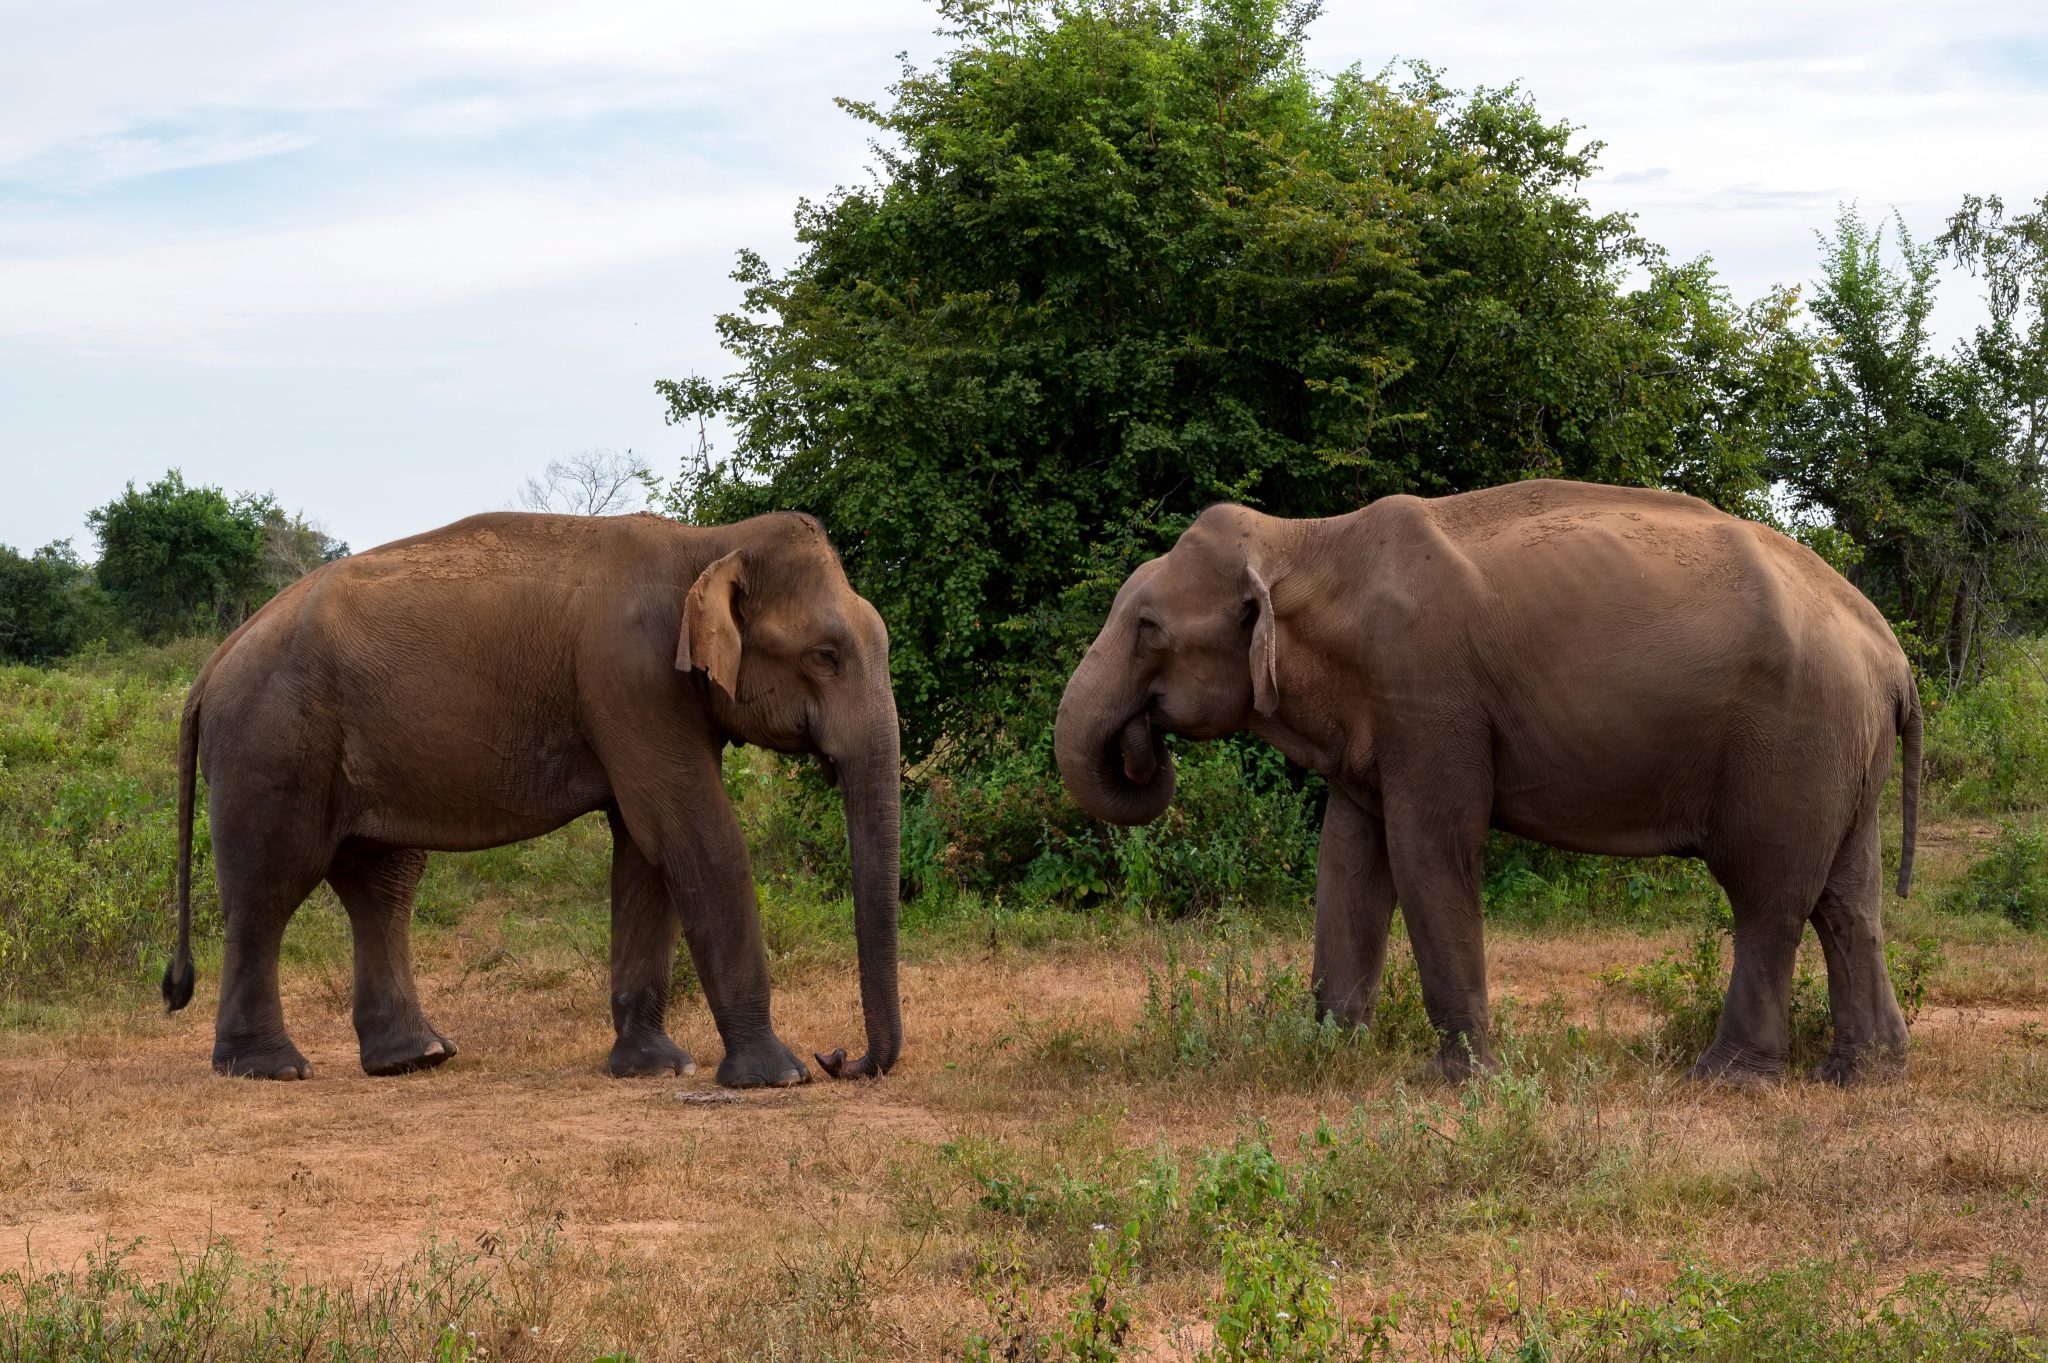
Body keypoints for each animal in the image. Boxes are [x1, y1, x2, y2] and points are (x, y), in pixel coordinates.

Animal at [159, 503, 897, 1088]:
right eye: (826, 655)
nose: (839, 1057)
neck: (708, 543)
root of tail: (211, 666)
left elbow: (645, 850)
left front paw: (656, 1067)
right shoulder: (631, 680)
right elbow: (693, 835)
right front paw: (777, 1076)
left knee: (381, 882)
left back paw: (416, 1057)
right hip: (271, 744)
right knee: (271, 887)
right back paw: (273, 1068)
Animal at [1056, 476, 1916, 1080]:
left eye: (1148, 629)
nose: (1144, 744)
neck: (1307, 541)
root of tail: (1890, 651)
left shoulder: (1430, 693)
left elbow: (1429, 850)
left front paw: (1458, 1081)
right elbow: (1349, 862)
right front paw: (1324, 1050)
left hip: (1794, 737)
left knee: (1768, 893)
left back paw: (1729, 1078)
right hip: (1843, 748)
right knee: (1847, 900)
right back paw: (1865, 1075)